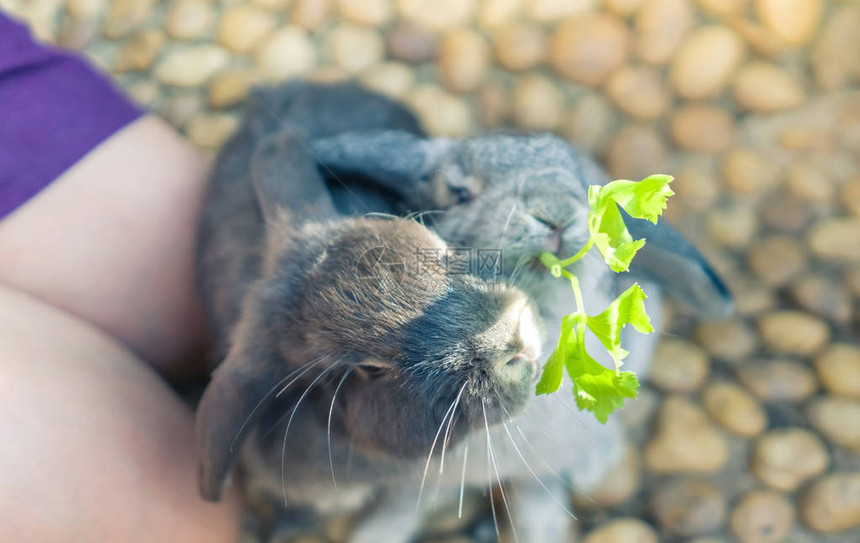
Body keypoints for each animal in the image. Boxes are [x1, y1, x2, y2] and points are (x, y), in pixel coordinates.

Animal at [197, 82, 732, 543]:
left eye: (589, 186)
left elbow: (539, 509)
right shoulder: (416, 482)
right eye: (459, 193)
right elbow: (398, 513)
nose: (555, 214)